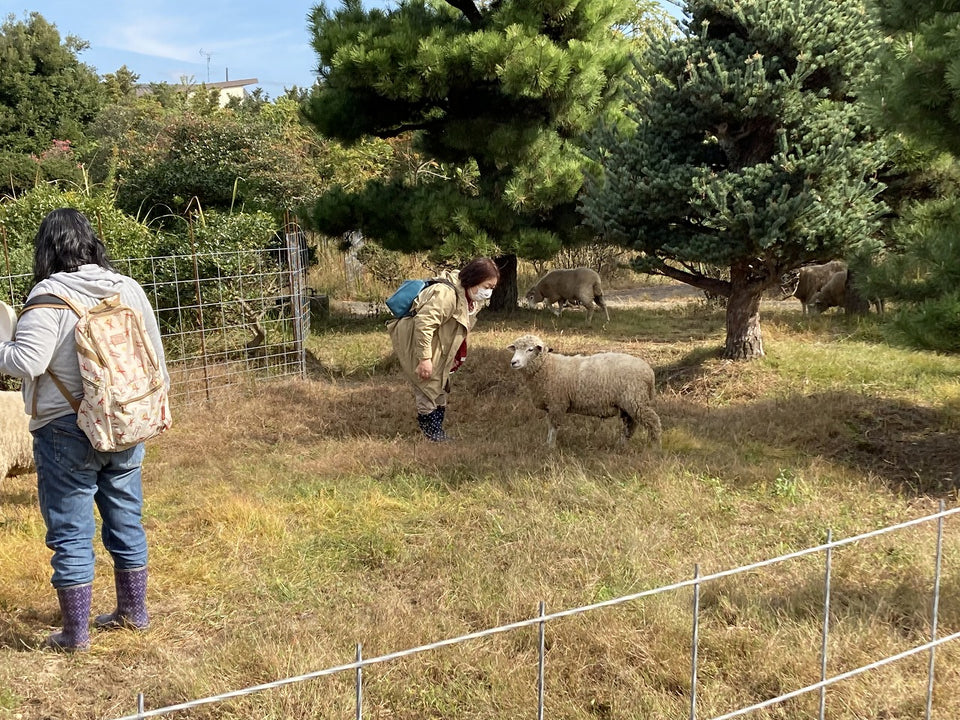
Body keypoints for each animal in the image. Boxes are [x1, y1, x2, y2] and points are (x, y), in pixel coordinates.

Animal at [510, 334, 660, 448]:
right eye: (515, 349)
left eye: (530, 349)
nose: (513, 362)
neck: (546, 366)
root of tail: (649, 372)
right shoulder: (551, 405)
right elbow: (550, 425)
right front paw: (547, 444)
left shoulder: (557, 403)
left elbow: (553, 427)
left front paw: (550, 447)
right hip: (627, 404)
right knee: (630, 425)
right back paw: (621, 445)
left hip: (635, 400)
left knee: (652, 421)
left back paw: (655, 446)